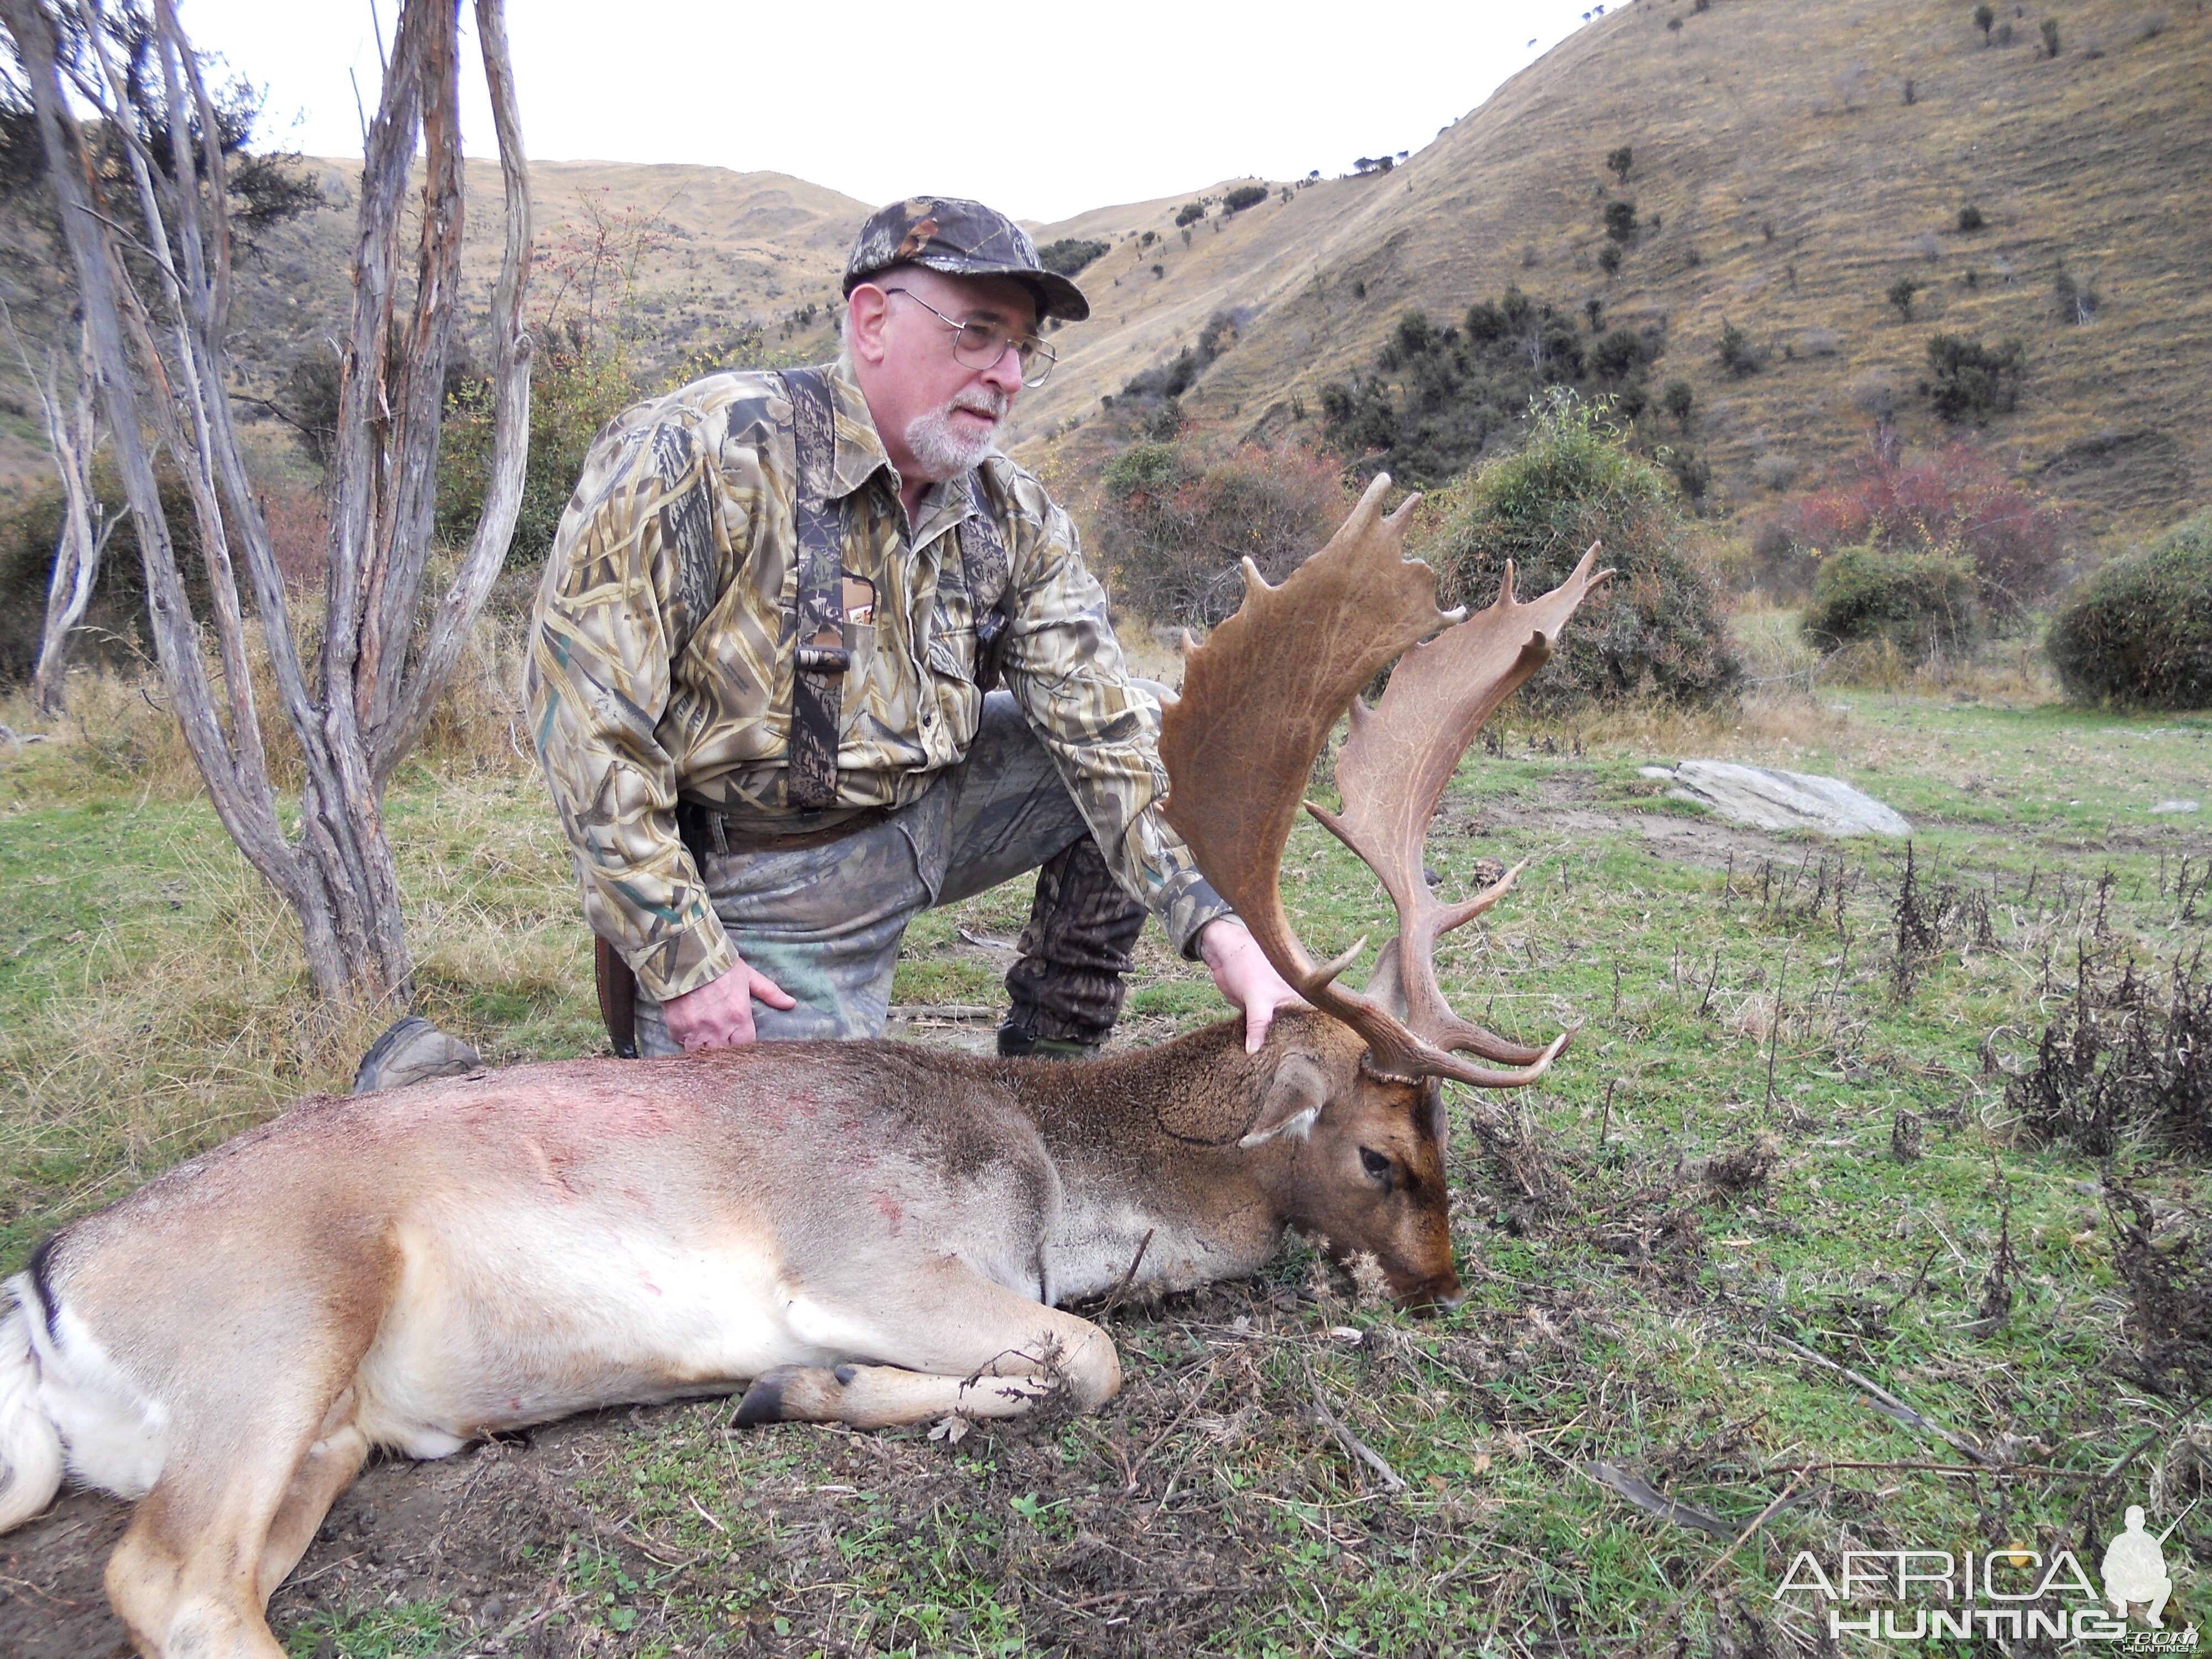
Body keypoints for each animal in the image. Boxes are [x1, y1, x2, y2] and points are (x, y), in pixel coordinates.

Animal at [0, 473, 1601, 1655]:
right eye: (1382, 1148)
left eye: (1445, 1142)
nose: (1441, 1280)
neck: (1044, 1174)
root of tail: (48, 1286)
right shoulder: (867, 1253)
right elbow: (1092, 1354)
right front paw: (909, 1392)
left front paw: (806, 1394)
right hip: (276, 1322)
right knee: (169, 1582)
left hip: (326, 1430)